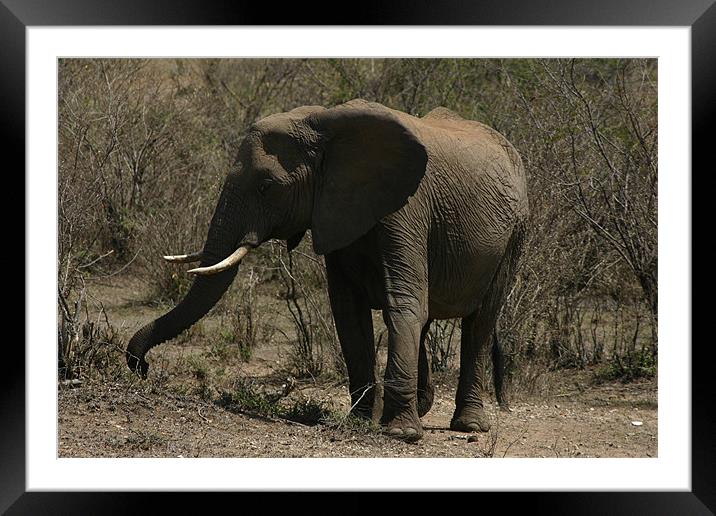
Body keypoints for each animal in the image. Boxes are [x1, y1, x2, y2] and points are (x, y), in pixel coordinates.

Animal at [126, 99, 528, 442]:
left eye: (266, 187)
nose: (141, 366)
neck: (324, 123)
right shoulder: (337, 211)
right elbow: (348, 312)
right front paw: (359, 421)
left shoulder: (408, 209)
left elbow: (402, 301)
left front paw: (400, 434)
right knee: (430, 319)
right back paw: (422, 405)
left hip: (514, 235)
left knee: (480, 322)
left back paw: (468, 425)